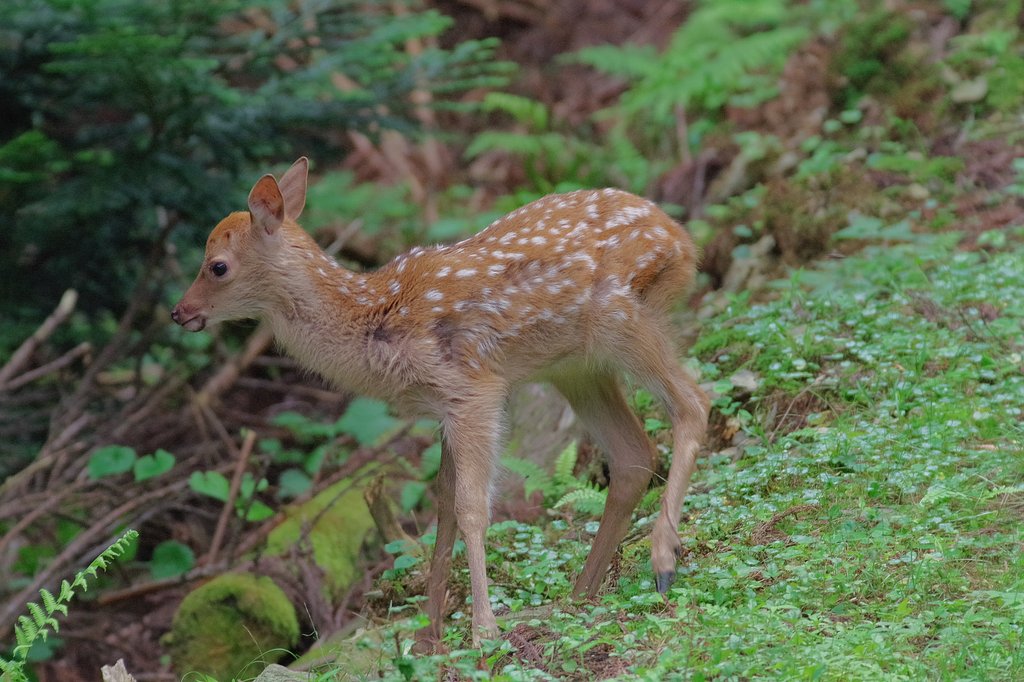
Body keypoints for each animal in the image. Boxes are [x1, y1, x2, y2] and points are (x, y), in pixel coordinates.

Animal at [171, 157, 709, 647]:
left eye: (217, 266)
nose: (179, 312)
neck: (373, 322)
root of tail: (683, 241)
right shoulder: (443, 408)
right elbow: (444, 507)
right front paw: (428, 634)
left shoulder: (473, 390)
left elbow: (472, 507)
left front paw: (482, 629)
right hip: (576, 367)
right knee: (633, 453)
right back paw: (581, 594)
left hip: (623, 320)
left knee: (694, 402)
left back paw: (663, 560)